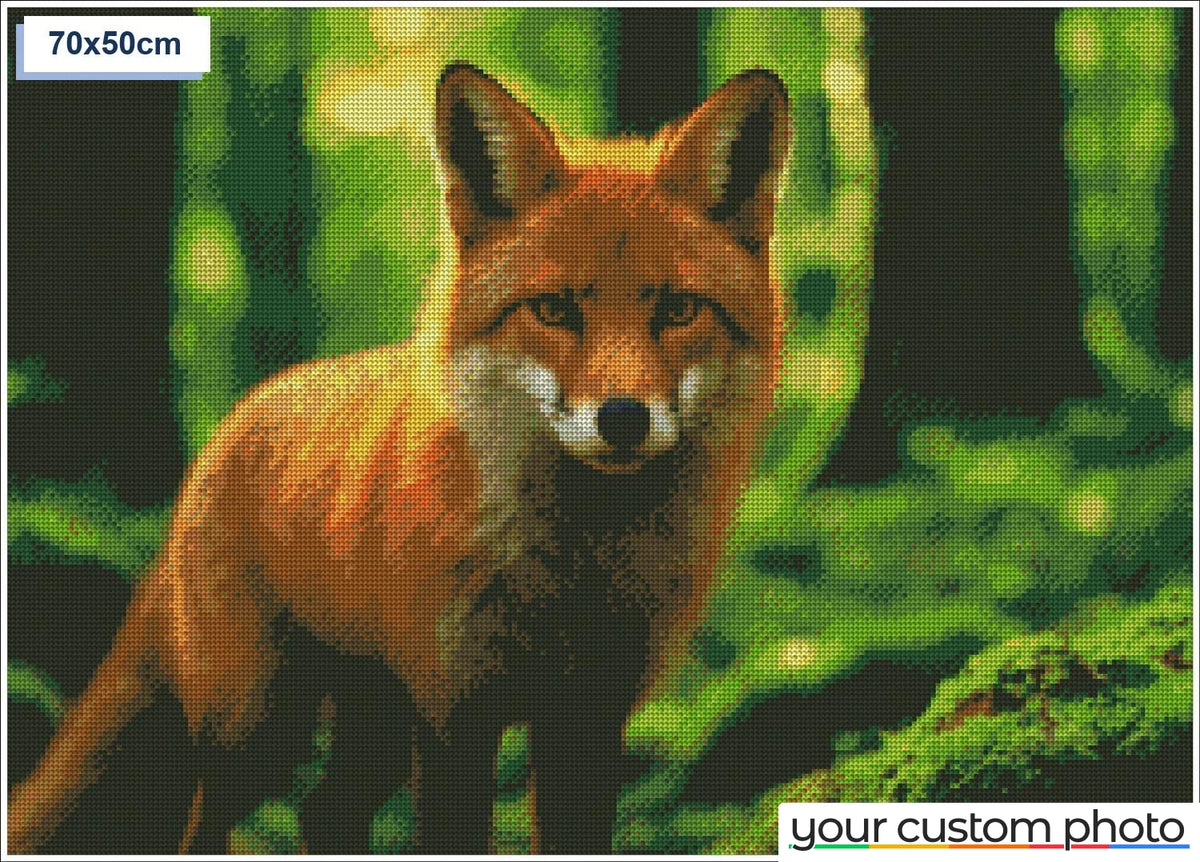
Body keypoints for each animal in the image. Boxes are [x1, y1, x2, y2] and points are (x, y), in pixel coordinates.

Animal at [8, 63, 788, 855]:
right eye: (554, 310)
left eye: (679, 311)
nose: (624, 418)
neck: (573, 569)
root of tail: (233, 422)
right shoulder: (453, 713)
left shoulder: (588, 717)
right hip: (255, 729)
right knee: (209, 824)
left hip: (369, 726)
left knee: (322, 810)